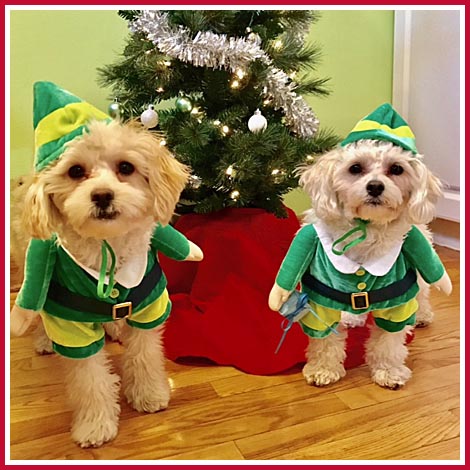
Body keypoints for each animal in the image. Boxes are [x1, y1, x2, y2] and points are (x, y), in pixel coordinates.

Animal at [11, 118, 204, 448]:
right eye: (75, 171)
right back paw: (46, 339)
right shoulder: (72, 328)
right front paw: (95, 424)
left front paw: (149, 393)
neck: (108, 251)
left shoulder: (149, 306)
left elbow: (145, 355)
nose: (102, 195)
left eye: (126, 167)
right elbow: (90, 380)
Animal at [272, 138, 452, 392]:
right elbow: (325, 339)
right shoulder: (322, 299)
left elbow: (388, 341)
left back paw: (422, 315)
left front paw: (388, 371)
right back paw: (352, 317)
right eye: (355, 168)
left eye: (396, 169)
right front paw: (323, 369)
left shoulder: (397, 301)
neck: (366, 228)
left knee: (423, 291)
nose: (375, 186)